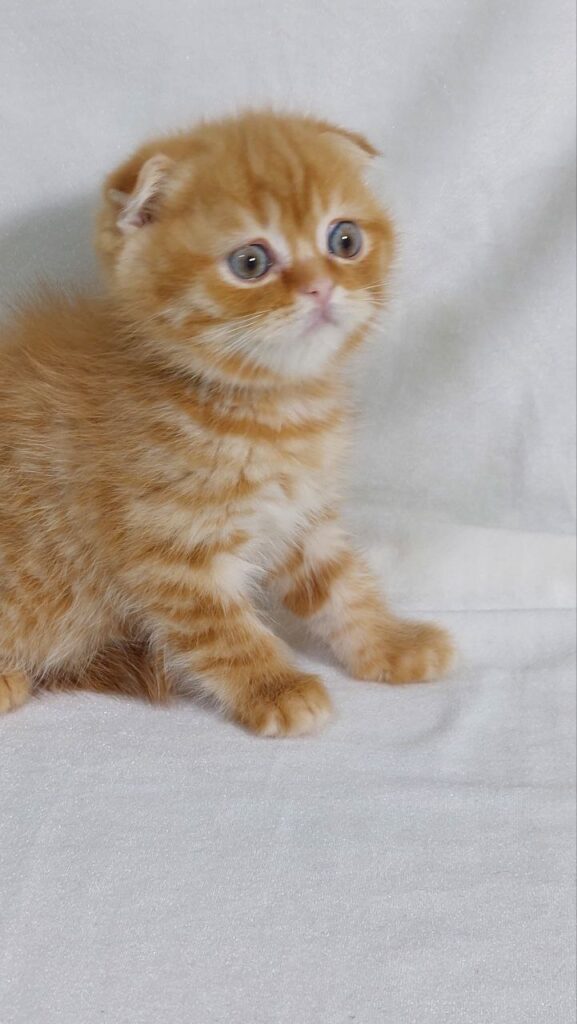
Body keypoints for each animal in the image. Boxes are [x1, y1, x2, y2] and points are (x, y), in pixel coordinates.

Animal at [0, 114, 452, 737]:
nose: (321, 287)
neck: (274, 414)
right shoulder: (168, 547)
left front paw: (391, 643)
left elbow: (341, 586)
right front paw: (277, 687)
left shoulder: (301, 516)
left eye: (344, 240)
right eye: (251, 263)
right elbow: (221, 629)